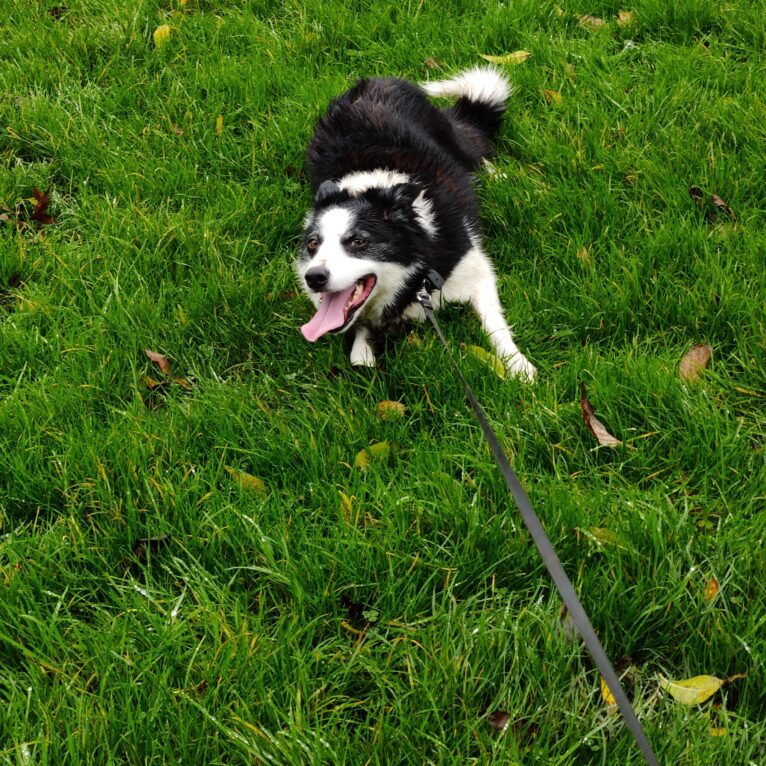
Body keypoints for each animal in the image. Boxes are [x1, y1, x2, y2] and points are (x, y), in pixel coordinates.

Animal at [296, 66, 536, 380]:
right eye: (313, 244)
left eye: (358, 241)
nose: (313, 278)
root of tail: (374, 82)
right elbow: (359, 346)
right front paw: (364, 356)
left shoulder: (476, 267)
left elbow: (494, 324)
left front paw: (519, 366)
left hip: (450, 136)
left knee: (474, 148)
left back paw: (499, 176)